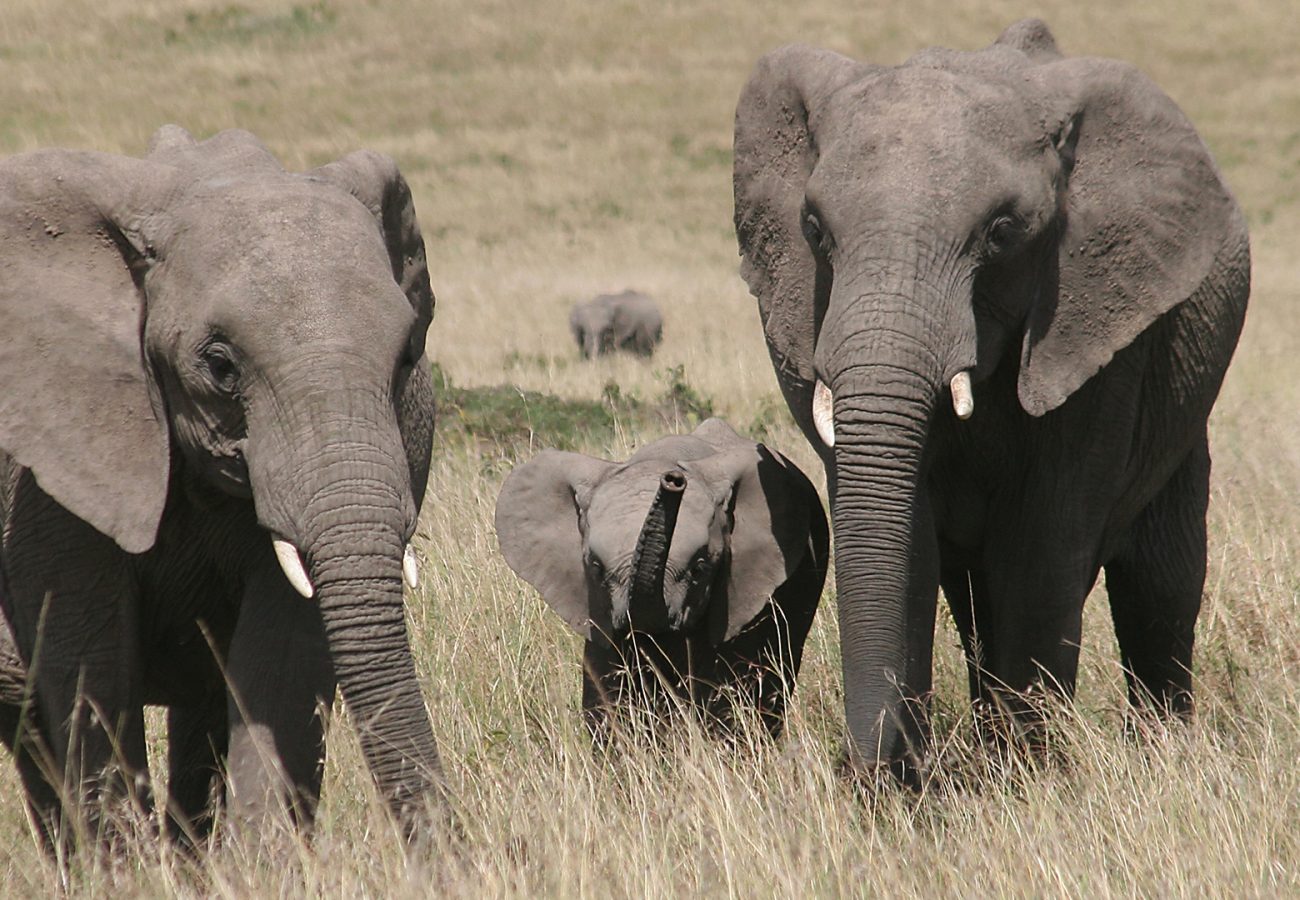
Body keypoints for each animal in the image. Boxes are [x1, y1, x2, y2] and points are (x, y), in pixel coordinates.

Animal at [0, 124, 447, 842]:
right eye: (219, 364)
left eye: (408, 354)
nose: (456, 849)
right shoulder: (50, 460)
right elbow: (90, 669)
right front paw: (126, 864)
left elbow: (283, 661)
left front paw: (261, 860)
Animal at [733, 21, 1248, 780]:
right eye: (814, 229)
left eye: (1002, 233)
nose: (863, 769)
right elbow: (909, 547)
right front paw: (919, 782)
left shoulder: (1100, 331)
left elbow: (1040, 549)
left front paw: (1027, 779)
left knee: (1160, 581)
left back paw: (1159, 751)